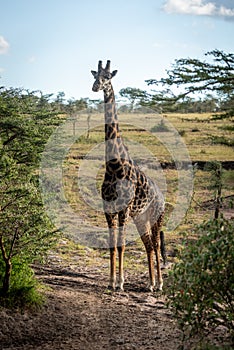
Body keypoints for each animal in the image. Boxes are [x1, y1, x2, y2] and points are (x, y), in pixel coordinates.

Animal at [90, 60, 165, 292]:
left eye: (108, 77)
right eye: (94, 75)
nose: (96, 86)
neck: (114, 166)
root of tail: (162, 196)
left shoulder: (123, 209)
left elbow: (121, 245)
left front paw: (121, 282)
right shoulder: (108, 209)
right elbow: (112, 245)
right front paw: (110, 281)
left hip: (157, 216)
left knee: (156, 245)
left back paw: (160, 284)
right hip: (141, 217)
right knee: (148, 245)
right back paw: (150, 283)